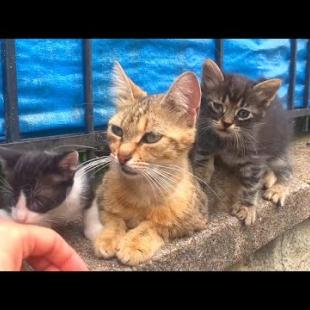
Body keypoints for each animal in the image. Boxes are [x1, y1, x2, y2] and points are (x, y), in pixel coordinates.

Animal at [93, 63, 207, 266]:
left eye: (151, 137)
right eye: (117, 130)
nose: (121, 156)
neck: (141, 190)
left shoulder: (195, 220)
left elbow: (156, 224)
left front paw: (134, 243)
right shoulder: (101, 200)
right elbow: (114, 219)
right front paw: (108, 237)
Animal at [194, 59, 294, 224]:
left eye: (243, 113)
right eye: (218, 106)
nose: (226, 123)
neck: (227, 140)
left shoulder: (255, 157)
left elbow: (251, 184)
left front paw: (247, 206)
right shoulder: (204, 137)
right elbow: (201, 162)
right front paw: (199, 180)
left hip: (275, 148)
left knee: (288, 169)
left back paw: (278, 187)